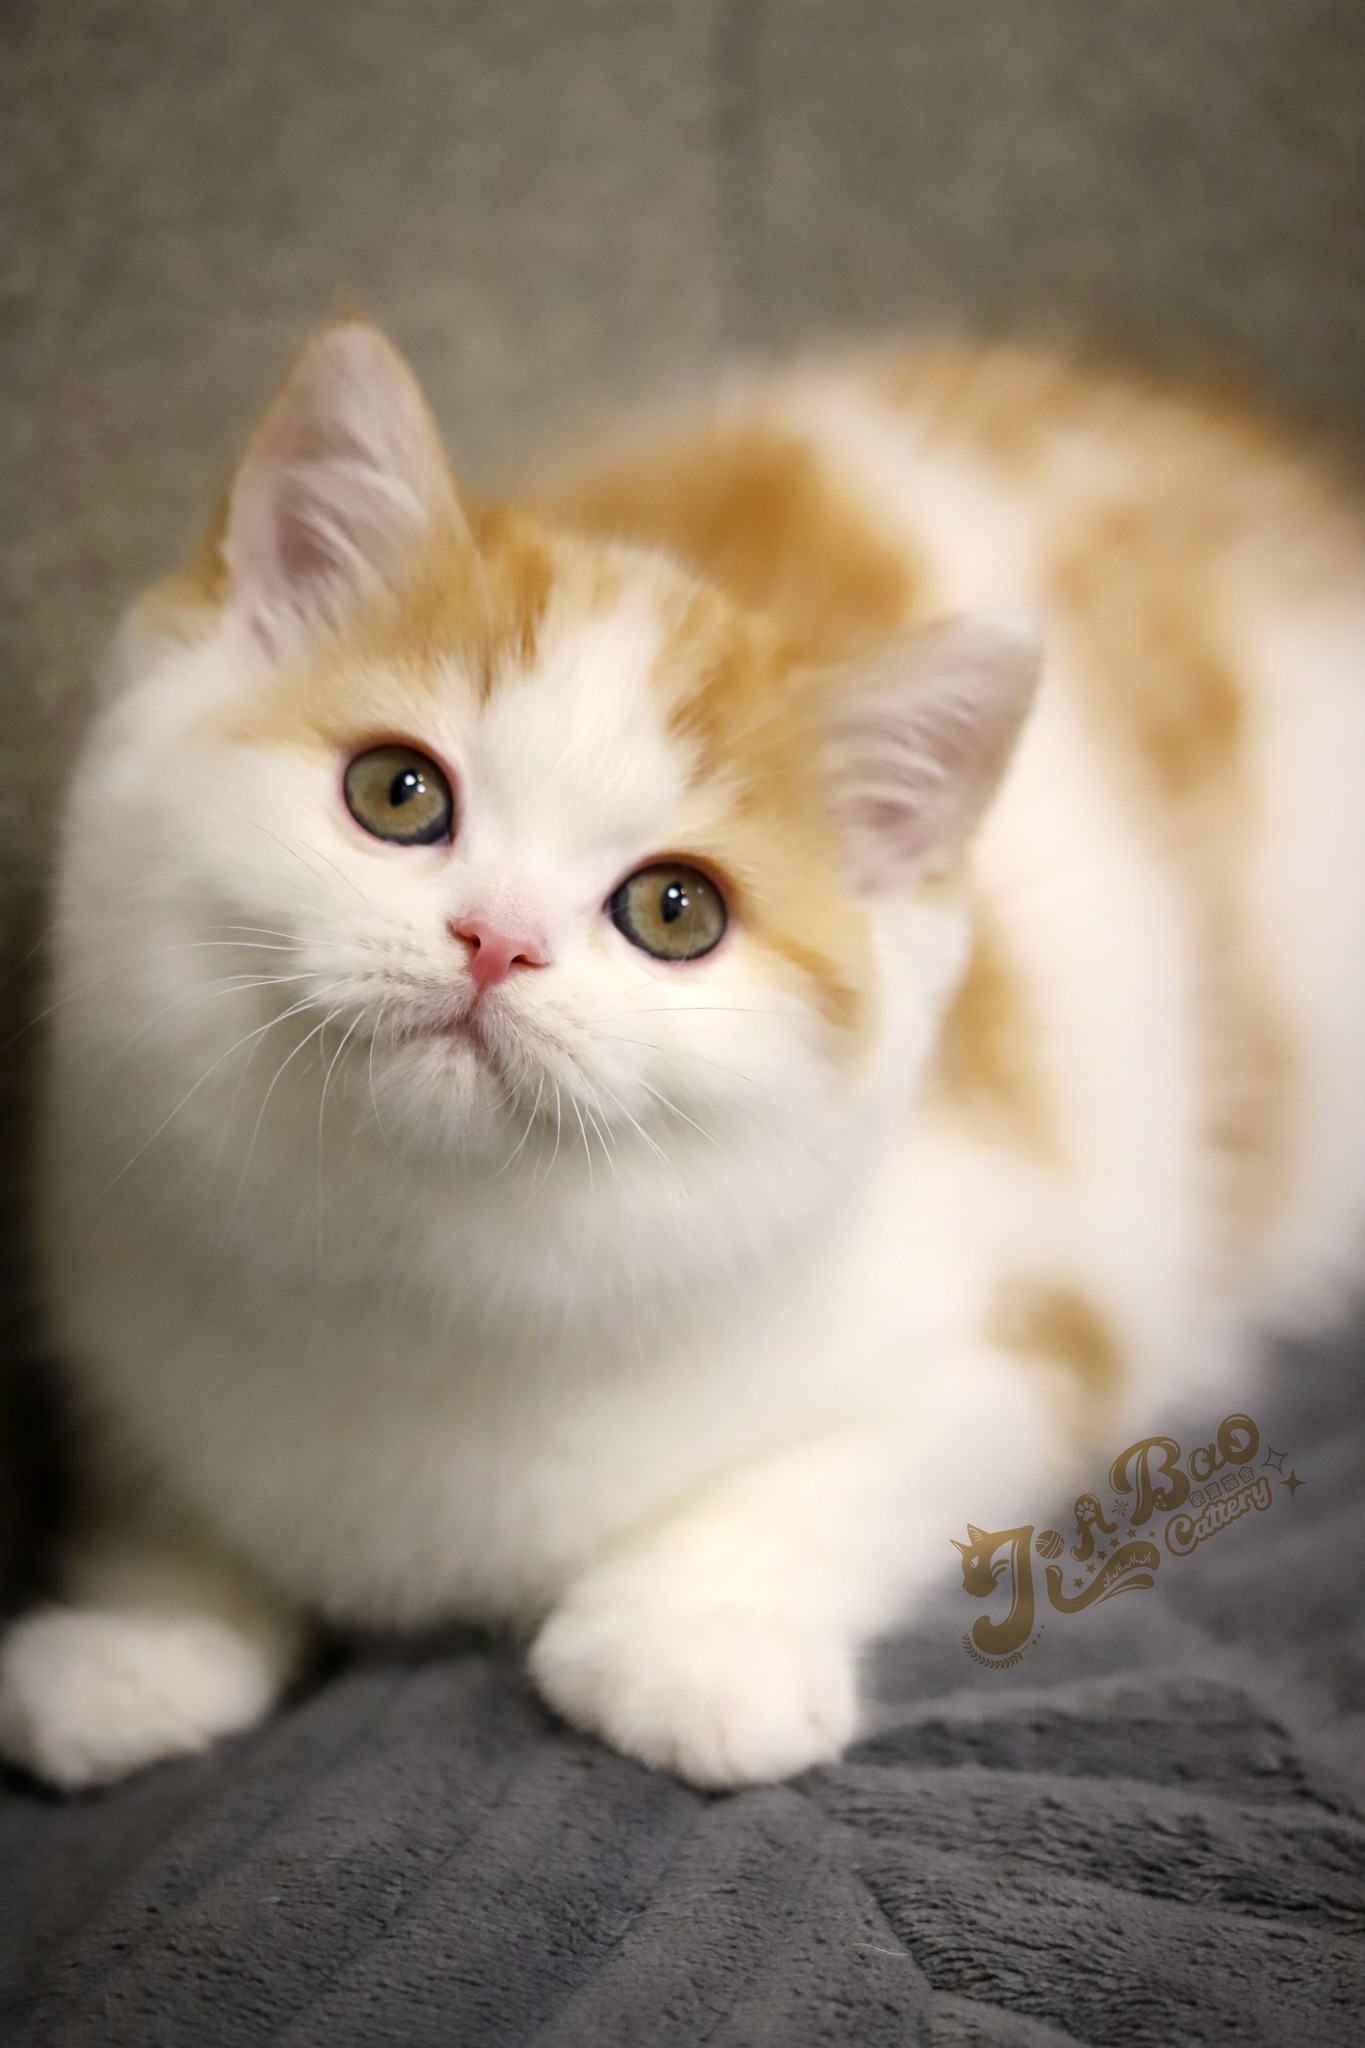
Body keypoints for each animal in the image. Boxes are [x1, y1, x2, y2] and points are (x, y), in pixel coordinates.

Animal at [2, 322, 1364, 1790]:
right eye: (395, 791)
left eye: (674, 910)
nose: (498, 940)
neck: (432, 1279)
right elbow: (163, 1472)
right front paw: (144, 1636)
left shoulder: (1039, 1318)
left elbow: (854, 1468)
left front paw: (692, 1646)